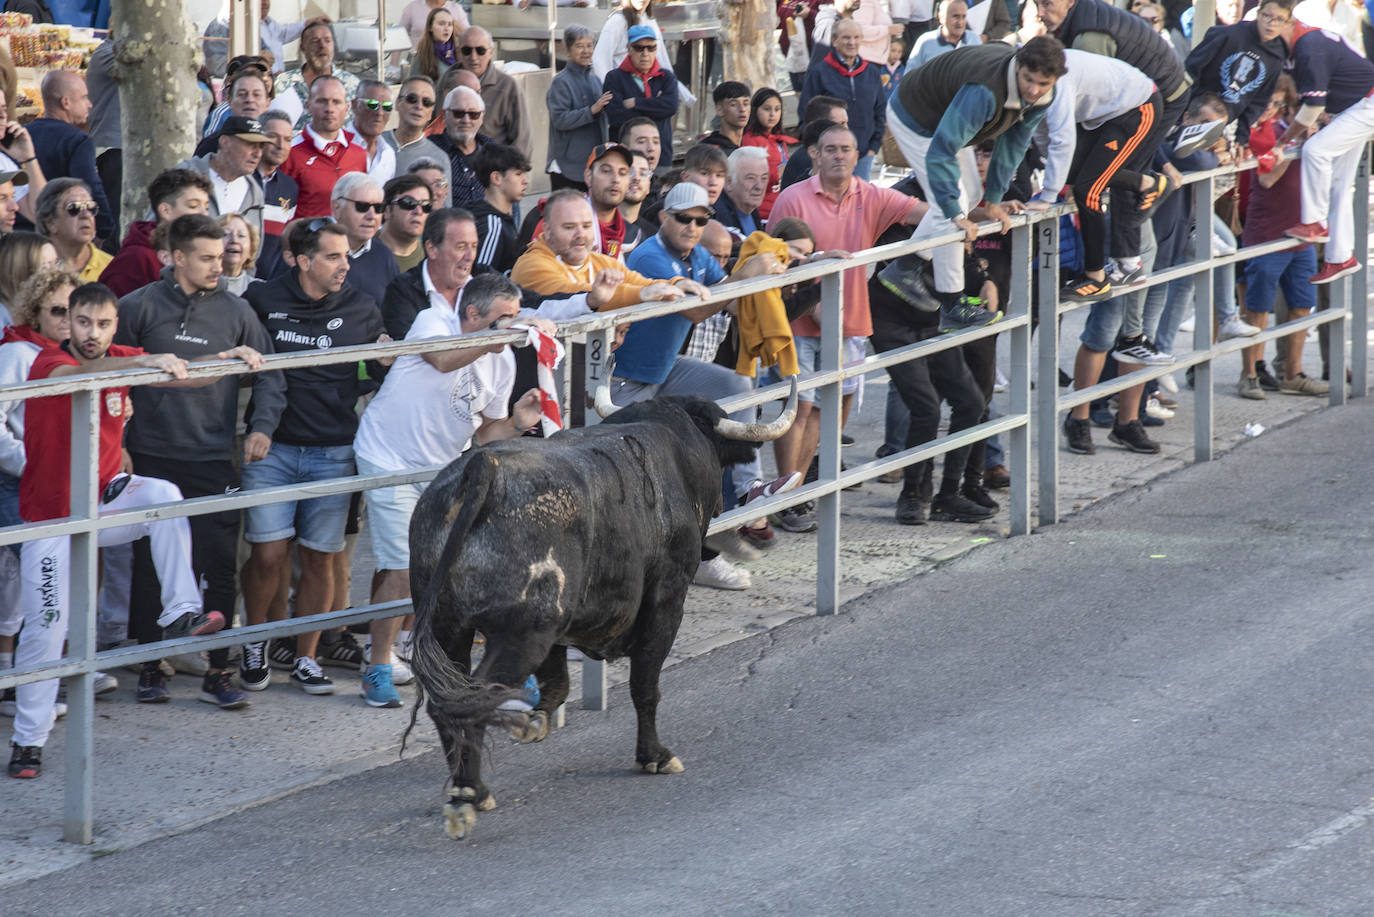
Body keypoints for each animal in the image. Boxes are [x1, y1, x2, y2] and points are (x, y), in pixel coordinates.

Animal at [401, 379, 796, 841]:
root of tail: (484, 467)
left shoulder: (558, 630)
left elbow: (558, 685)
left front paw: (536, 722)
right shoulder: (666, 601)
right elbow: (645, 685)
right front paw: (654, 755)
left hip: (453, 629)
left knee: (449, 703)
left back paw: (473, 790)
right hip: (520, 635)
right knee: (469, 701)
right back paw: (466, 797)